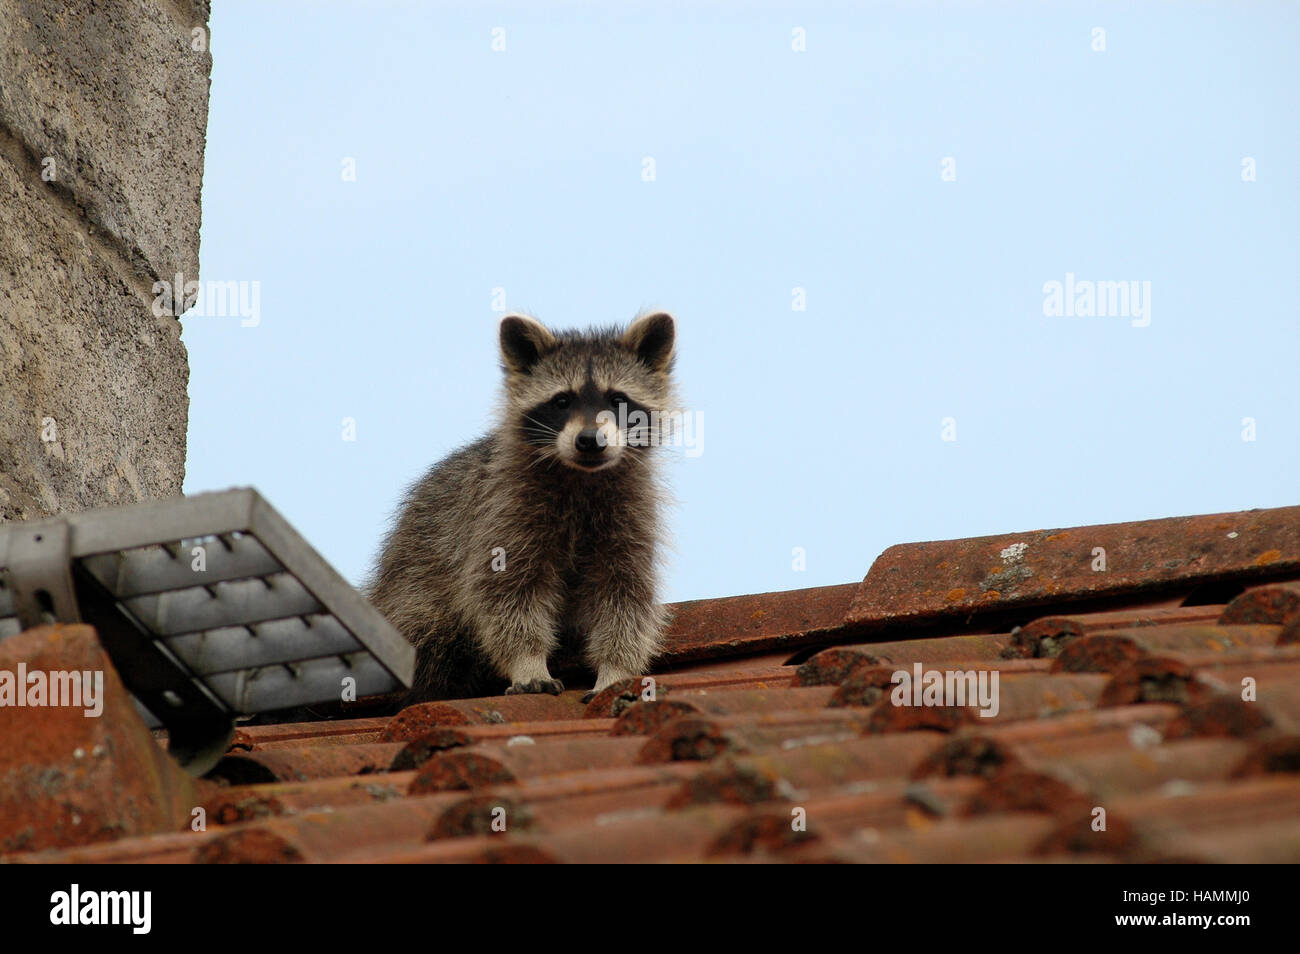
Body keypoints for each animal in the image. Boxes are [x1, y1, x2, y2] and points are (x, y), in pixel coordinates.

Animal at [361, 310, 676, 707]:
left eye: (618, 399)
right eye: (562, 401)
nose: (590, 441)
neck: (581, 476)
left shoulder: (631, 513)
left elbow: (626, 595)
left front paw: (615, 670)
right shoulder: (501, 510)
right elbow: (505, 591)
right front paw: (528, 661)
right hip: (411, 593)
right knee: (433, 632)